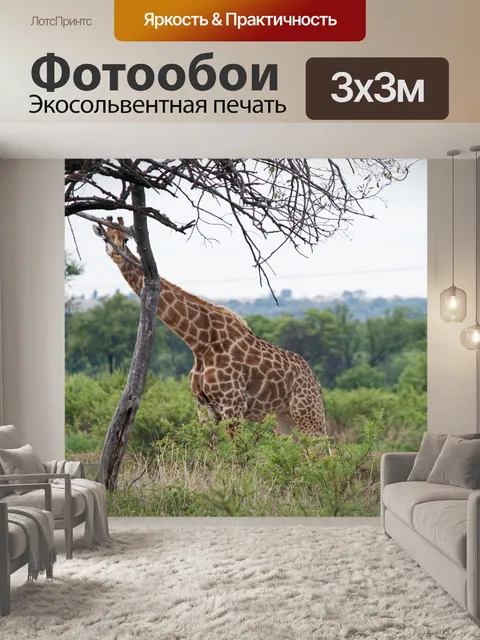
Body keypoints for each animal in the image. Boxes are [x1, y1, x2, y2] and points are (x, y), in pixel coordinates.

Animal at [93, 217, 327, 438]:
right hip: (284, 420)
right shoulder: (203, 407)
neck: (200, 343)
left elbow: (239, 453)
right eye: (105, 238)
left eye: (126, 239)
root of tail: (316, 381)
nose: (116, 255)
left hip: (309, 415)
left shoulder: (232, 406)